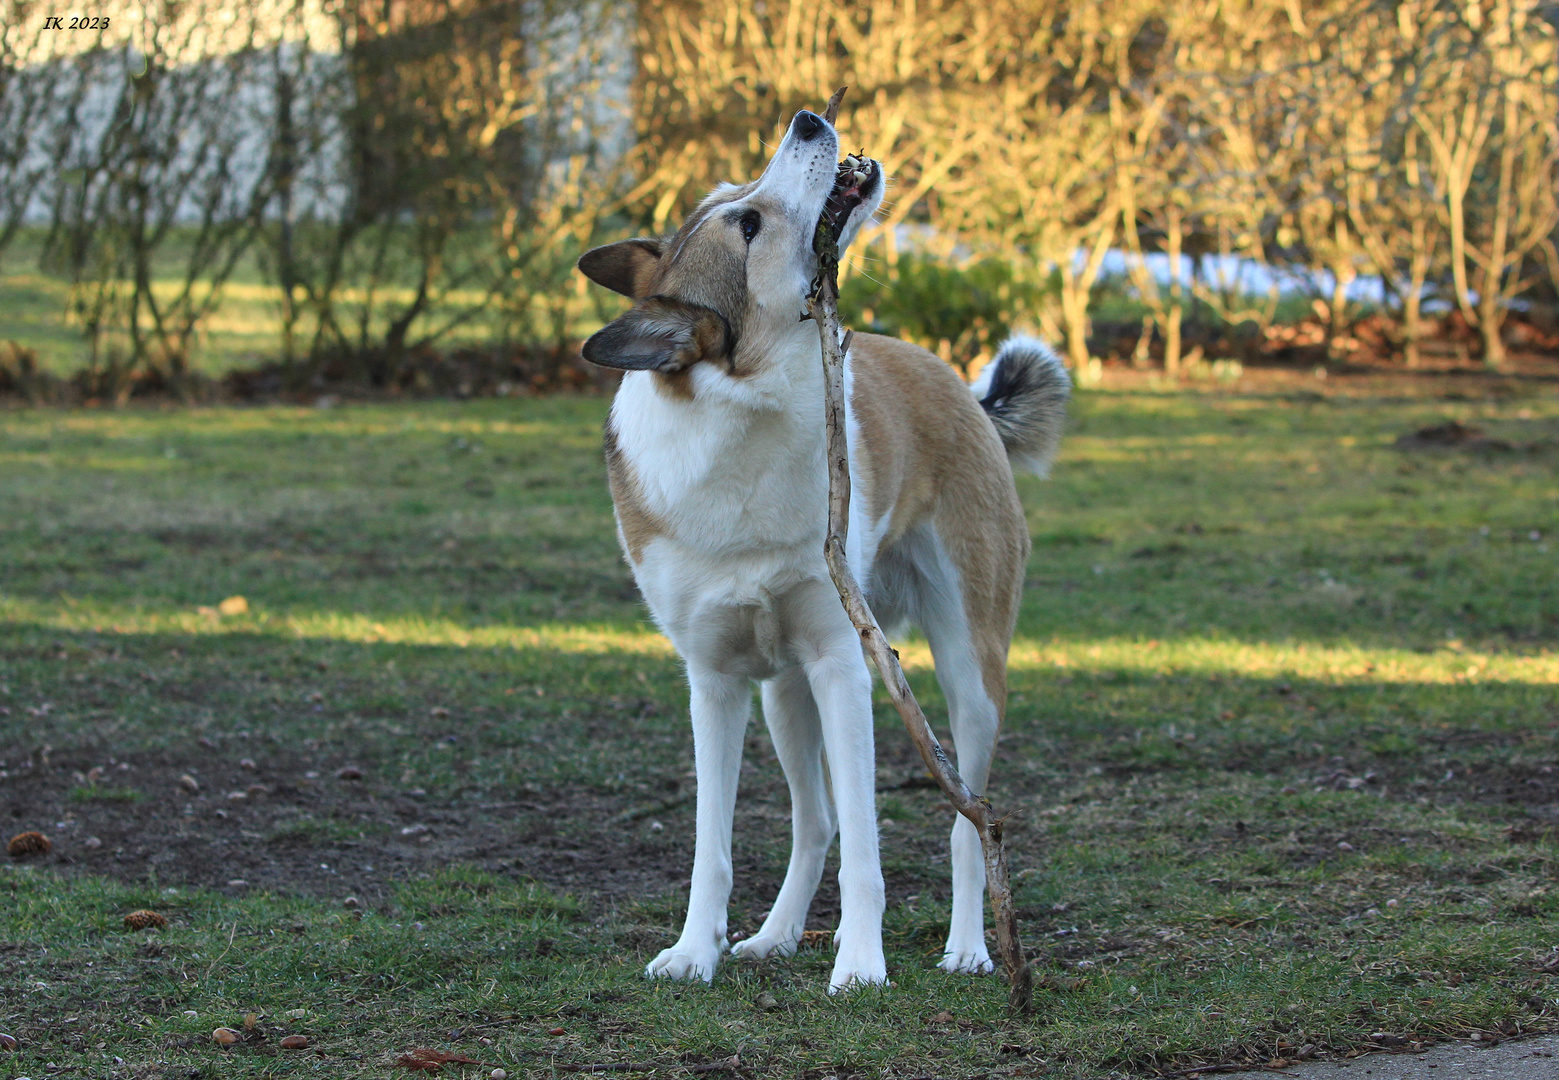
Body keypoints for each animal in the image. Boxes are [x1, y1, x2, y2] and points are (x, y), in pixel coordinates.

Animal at [576, 107, 1072, 984]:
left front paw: (862, 966)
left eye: (738, 197)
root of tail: (963, 390)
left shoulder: (843, 664)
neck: (746, 421)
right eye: (745, 221)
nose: (808, 119)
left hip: (968, 674)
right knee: (816, 824)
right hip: (784, 692)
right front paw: (693, 950)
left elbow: (871, 851)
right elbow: (713, 844)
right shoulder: (715, 681)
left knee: (969, 821)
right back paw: (775, 936)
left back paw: (971, 946)